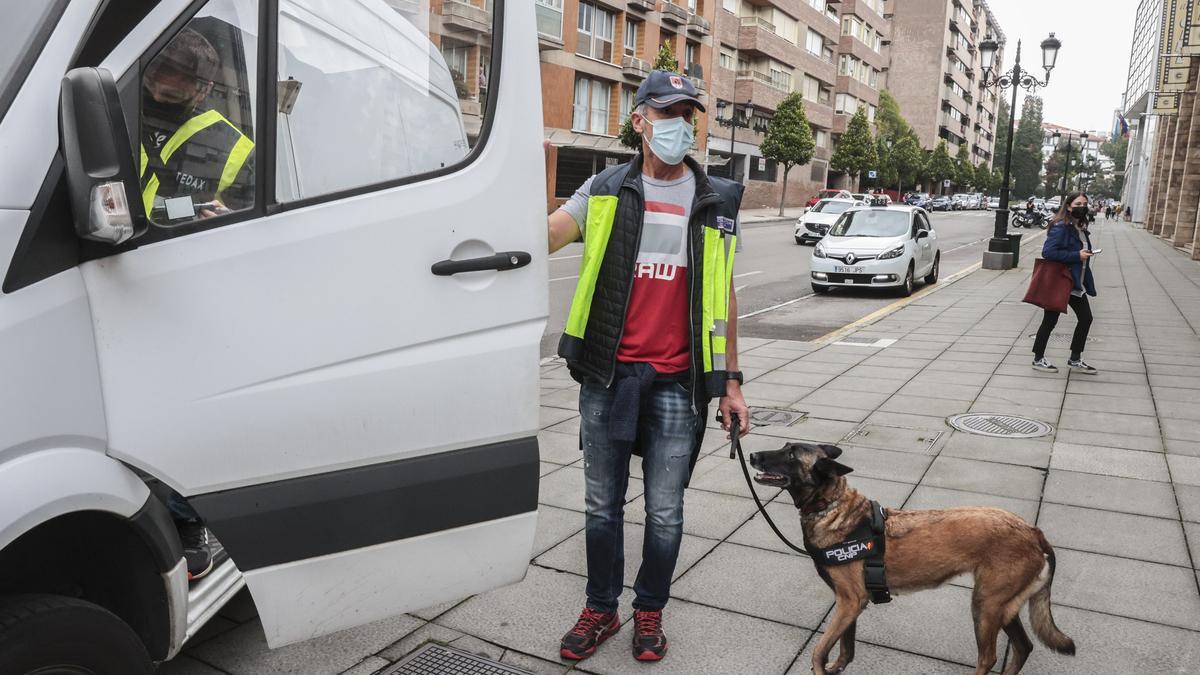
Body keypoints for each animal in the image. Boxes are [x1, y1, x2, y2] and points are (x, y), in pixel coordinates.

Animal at [748, 441, 1080, 672]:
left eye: (791, 455)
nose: (751, 455)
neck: (831, 506)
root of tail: (1033, 531)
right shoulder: (849, 605)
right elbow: (845, 649)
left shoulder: (849, 602)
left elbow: (818, 652)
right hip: (1002, 607)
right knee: (1023, 647)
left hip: (986, 606)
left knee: (989, 657)